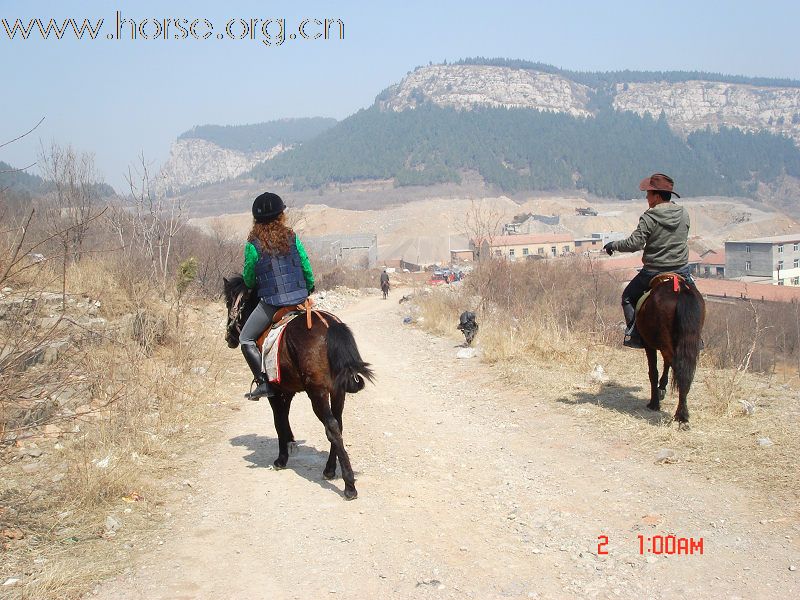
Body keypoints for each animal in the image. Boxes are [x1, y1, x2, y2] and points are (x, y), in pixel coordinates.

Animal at [223, 274, 374, 500]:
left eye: (228, 302)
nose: (229, 337)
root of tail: (329, 326)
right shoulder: (288, 391)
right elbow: (284, 419)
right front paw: (290, 443)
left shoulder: (276, 393)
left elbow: (279, 421)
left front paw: (281, 458)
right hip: (337, 392)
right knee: (338, 425)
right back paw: (330, 469)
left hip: (317, 393)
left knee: (331, 426)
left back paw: (349, 485)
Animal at [636, 274, 704, 424]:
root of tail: (681, 290)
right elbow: (666, 364)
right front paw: (662, 388)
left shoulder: (649, 345)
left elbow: (653, 372)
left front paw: (654, 403)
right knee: (685, 371)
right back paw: (683, 414)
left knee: (678, 369)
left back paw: (680, 414)